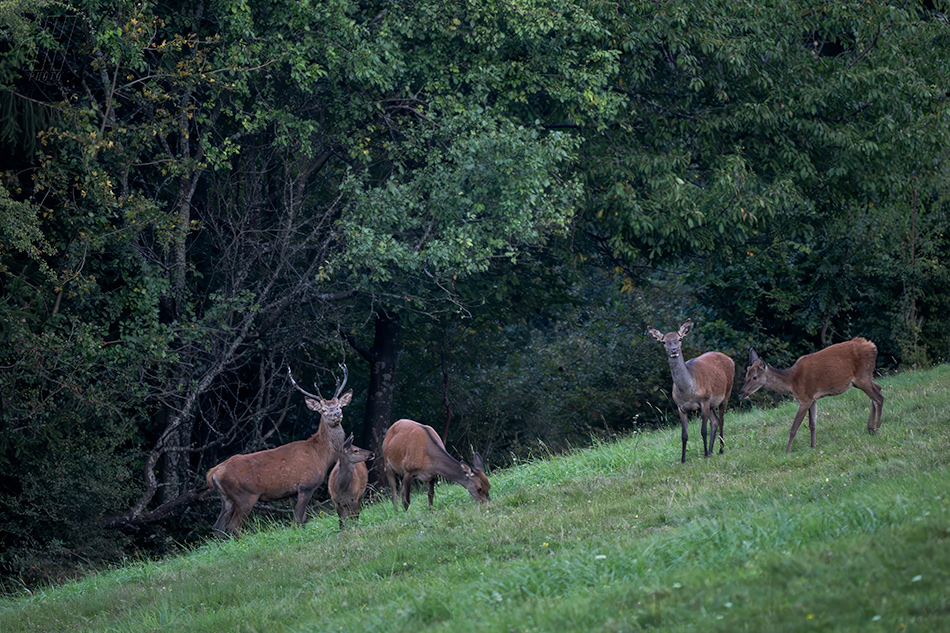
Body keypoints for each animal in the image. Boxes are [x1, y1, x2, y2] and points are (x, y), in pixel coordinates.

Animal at [205, 366, 354, 532]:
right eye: (323, 410)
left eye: (339, 405)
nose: (337, 414)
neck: (321, 455)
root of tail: (214, 473)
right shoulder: (307, 485)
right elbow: (298, 519)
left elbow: (302, 519)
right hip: (245, 496)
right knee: (233, 527)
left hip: (226, 499)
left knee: (217, 528)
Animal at [652, 318, 740, 462]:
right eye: (664, 341)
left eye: (680, 339)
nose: (674, 350)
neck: (688, 392)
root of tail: (730, 359)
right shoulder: (680, 407)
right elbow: (684, 435)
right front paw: (683, 459)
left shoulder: (704, 400)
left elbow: (703, 430)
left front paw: (704, 455)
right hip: (712, 404)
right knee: (715, 422)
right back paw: (711, 450)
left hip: (726, 393)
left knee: (721, 420)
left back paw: (720, 450)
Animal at [744, 338, 884, 452]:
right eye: (746, 374)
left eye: (754, 377)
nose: (742, 393)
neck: (792, 382)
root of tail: (873, 346)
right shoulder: (813, 398)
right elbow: (812, 425)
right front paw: (812, 446)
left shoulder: (804, 399)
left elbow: (794, 428)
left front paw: (787, 451)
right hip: (861, 379)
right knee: (878, 389)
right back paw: (870, 428)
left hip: (862, 375)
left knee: (878, 398)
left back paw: (877, 429)